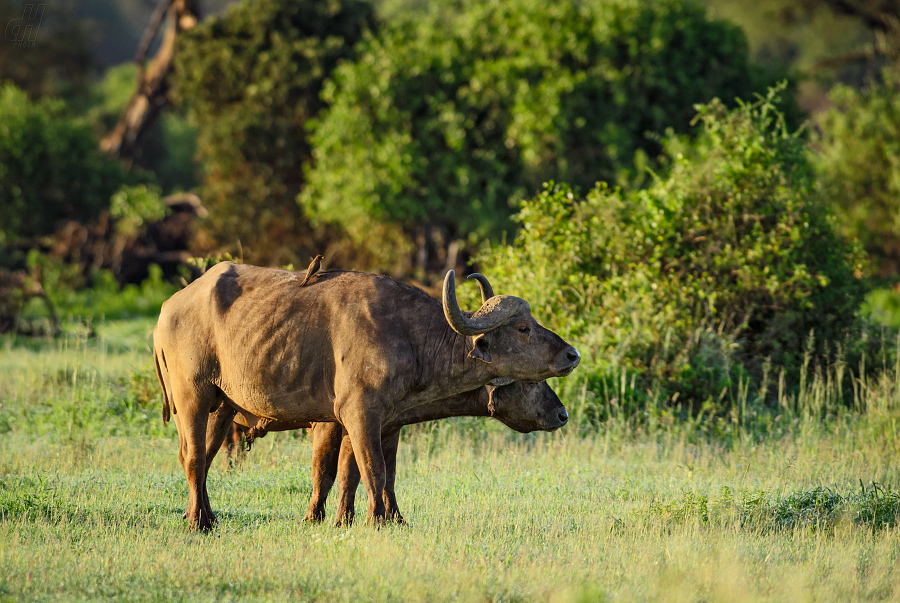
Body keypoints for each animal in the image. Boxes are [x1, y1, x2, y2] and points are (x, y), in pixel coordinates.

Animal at [154, 264, 576, 528]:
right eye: (523, 328)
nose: (573, 355)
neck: (410, 338)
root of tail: (168, 309)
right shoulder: (355, 417)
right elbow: (366, 471)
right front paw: (371, 521)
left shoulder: (386, 425)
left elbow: (364, 474)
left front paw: (374, 519)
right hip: (192, 398)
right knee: (193, 457)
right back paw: (198, 523)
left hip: (222, 408)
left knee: (203, 459)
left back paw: (202, 515)